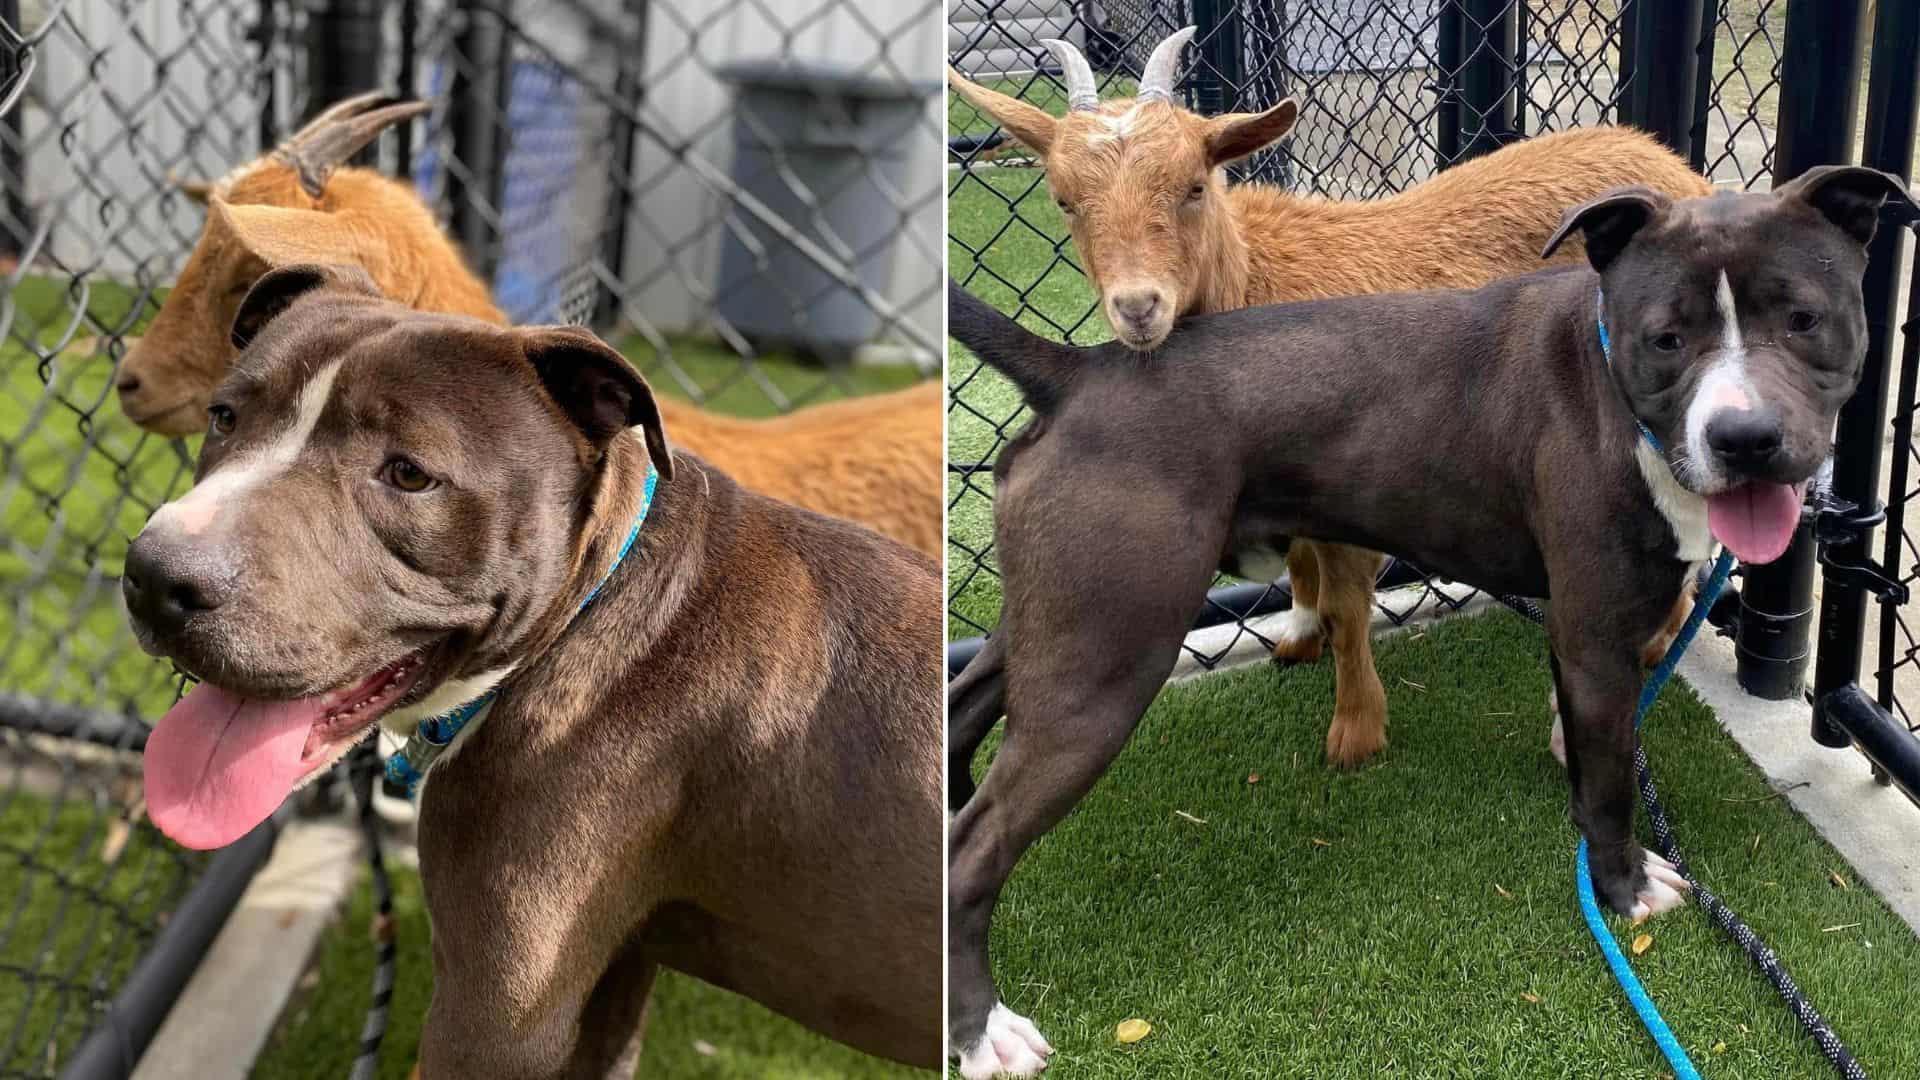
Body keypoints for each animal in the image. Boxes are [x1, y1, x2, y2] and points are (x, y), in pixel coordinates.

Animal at [116, 265, 940, 1068]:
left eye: (409, 475)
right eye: (226, 418)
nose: (153, 578)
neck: (584, 614)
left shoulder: (492, 1019)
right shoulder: (615, 968)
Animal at [952, 27, 1720, 764]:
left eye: (1195, 186)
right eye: (1064, 201)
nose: (1139, 307)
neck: (1255, 280)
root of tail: (1680, 169)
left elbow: (1350, 609)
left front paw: (1355, 731)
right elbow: (1299, 569)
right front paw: (1297, 637)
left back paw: (1656, 645)